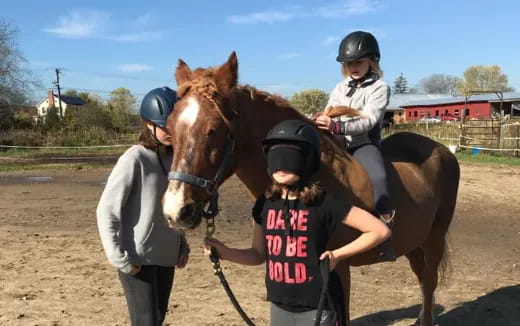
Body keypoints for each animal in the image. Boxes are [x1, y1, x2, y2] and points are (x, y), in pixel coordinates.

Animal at [162, 52, 460, 324]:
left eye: (213, 129)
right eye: (170, 128)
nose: (176, 211)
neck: (313, 176)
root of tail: (444, 150)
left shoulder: (338, 268)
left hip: (435, 237)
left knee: (429, 281)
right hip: (414, 242)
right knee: (422, 277)